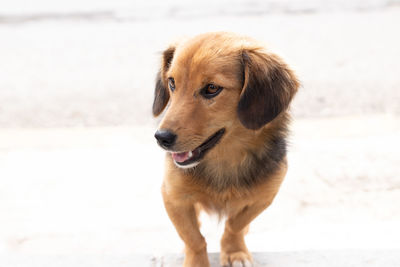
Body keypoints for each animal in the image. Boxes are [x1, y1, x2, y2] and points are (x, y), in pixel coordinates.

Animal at [152, 31, 298, 267]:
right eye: (171, 83)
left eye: (212, 88)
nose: (161, 138)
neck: (225, 159)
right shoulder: (173, 197)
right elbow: (193, 237)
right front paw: (196, 261)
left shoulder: (263, 198)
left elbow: (235, 225)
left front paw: (235, 252)